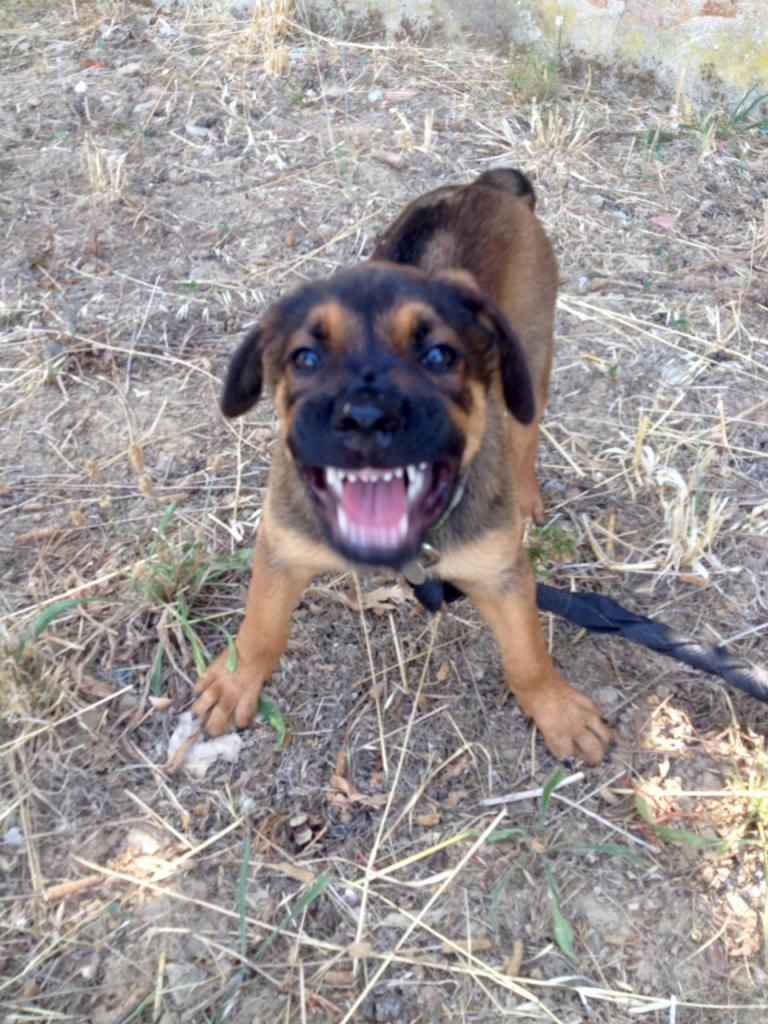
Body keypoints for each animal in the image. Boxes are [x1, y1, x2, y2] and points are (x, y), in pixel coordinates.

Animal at [193, 165, 614, 761]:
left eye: (438, 356)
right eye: (306, 359)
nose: (367, 416)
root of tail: (489, 186)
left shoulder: (502, 574)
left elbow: (527, 656)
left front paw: (558, 710)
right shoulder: (283, 548)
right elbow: (261, 627)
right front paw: (233, 683)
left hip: (531, 358)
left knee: (526, 433)